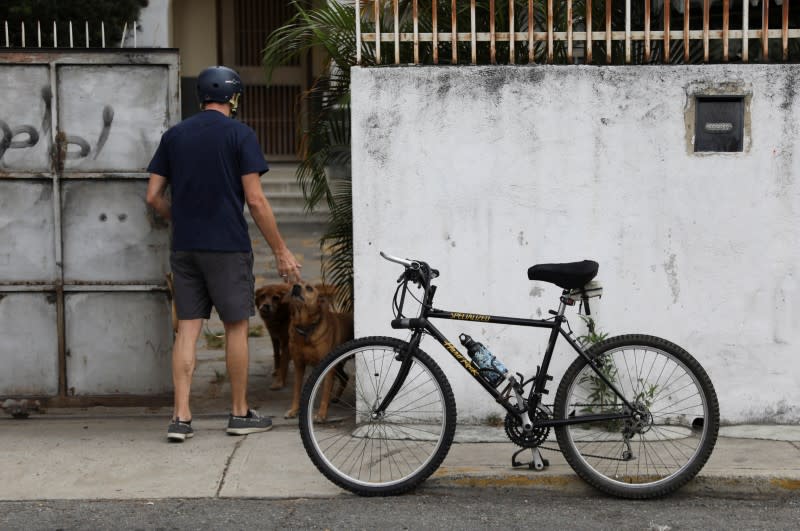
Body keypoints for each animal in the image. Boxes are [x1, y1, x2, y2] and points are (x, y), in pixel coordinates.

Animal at [284, 280, 354, 422]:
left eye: (309, 288)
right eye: (294, 283)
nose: (296, 287)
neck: (305, 328)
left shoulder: (327, 367)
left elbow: (325, 391)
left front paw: (321, 414)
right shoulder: (299, 365)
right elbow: (296, 391)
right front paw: (294, 411)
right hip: (338, 366)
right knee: (345, 377)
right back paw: (336, 398)